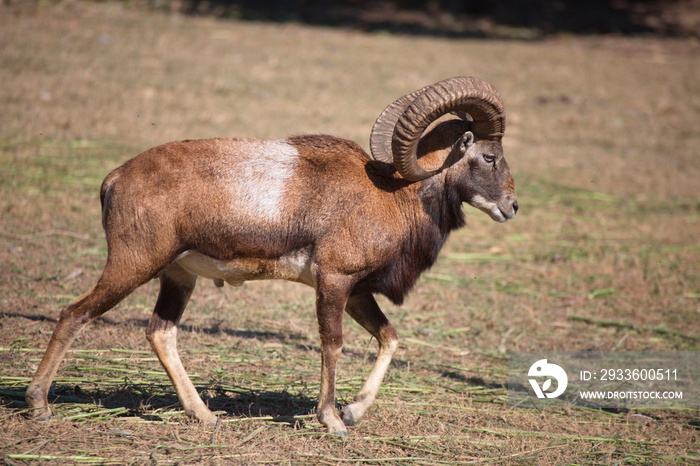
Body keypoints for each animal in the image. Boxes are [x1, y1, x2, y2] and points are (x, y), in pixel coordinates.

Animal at [27, 76, 516, 436]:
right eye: (489, 156)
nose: (511, 207)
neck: (392, 195)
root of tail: (115, 179)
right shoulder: (335, 282)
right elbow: (333, 344)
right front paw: (333, 421)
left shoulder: (357, 293)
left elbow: (389, 338)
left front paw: (354, 412)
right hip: (131, 268)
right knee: (75, 314)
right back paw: (38, 406)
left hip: (178, 278)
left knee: (160, 333)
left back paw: (206, 416)